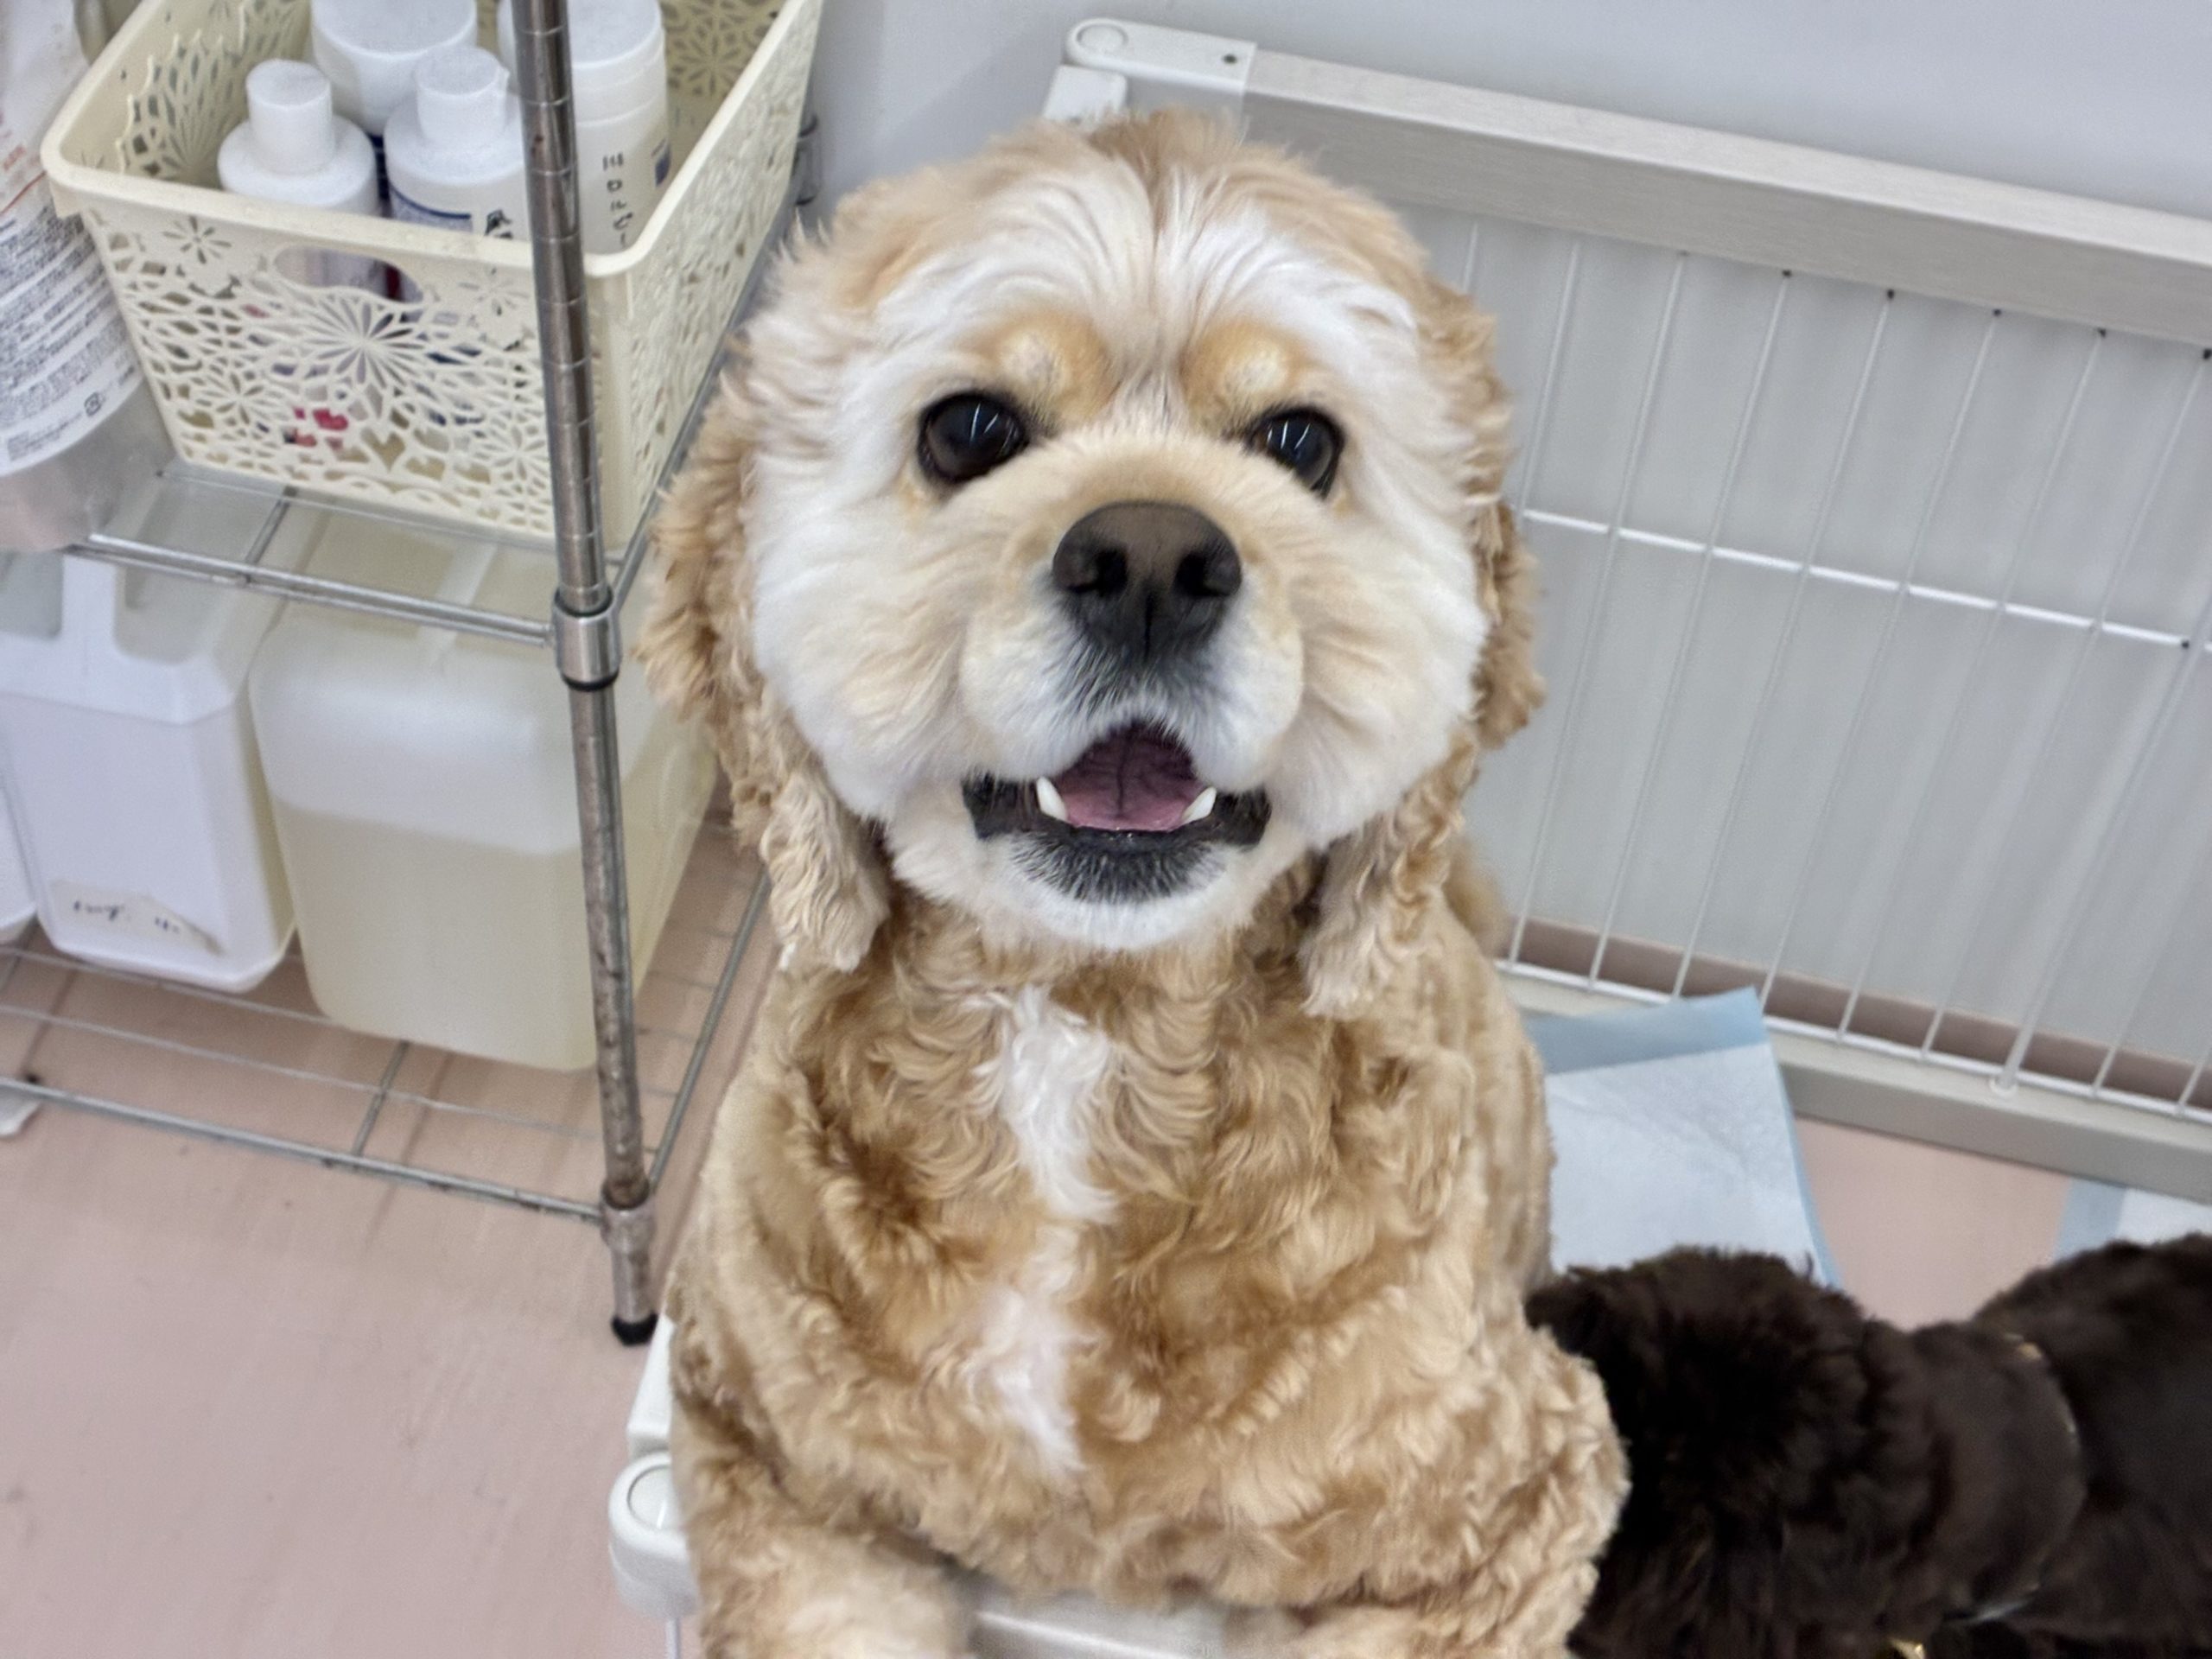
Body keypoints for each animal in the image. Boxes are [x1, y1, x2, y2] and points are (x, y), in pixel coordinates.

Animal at [639, 112, 1625, 1659]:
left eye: (1299, 441)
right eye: (971, 430)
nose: (1153, 558)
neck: (1081, 1023)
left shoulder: (1509, 1507)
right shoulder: (766, 1458)